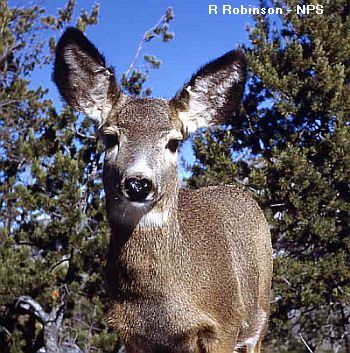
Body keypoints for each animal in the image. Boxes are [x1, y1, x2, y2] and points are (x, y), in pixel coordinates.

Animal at [54, 27, 274, 352]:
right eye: (110, 138)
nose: (138, 183)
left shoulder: (223, 326)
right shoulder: (131, 334)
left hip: (258, 319)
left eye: (173, 142)